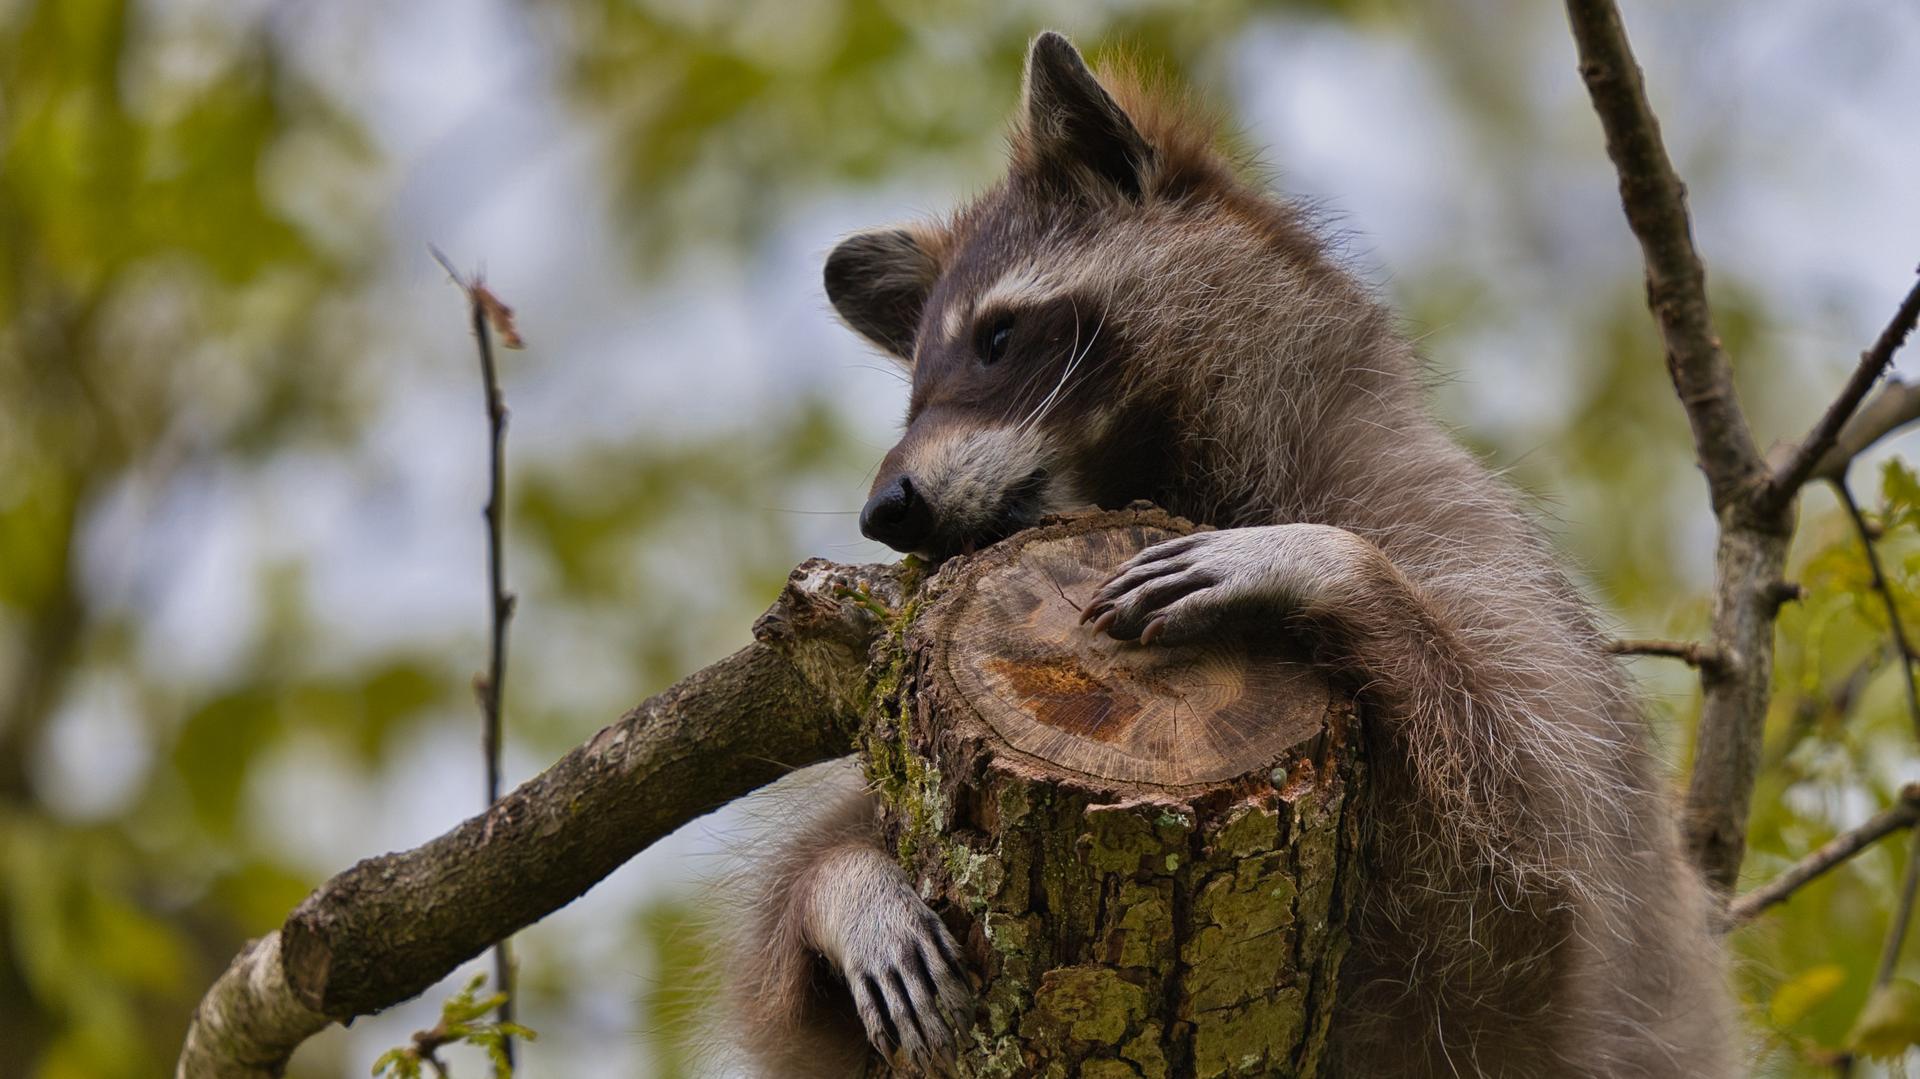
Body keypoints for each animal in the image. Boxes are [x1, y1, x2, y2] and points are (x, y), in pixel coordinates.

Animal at [721, 29, 1743, 1067]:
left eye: (997, 338)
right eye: (913, 396)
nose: (886, 509)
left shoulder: (1472, 551)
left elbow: (1521, 893)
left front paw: (1326, 566)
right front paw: (843, 887)